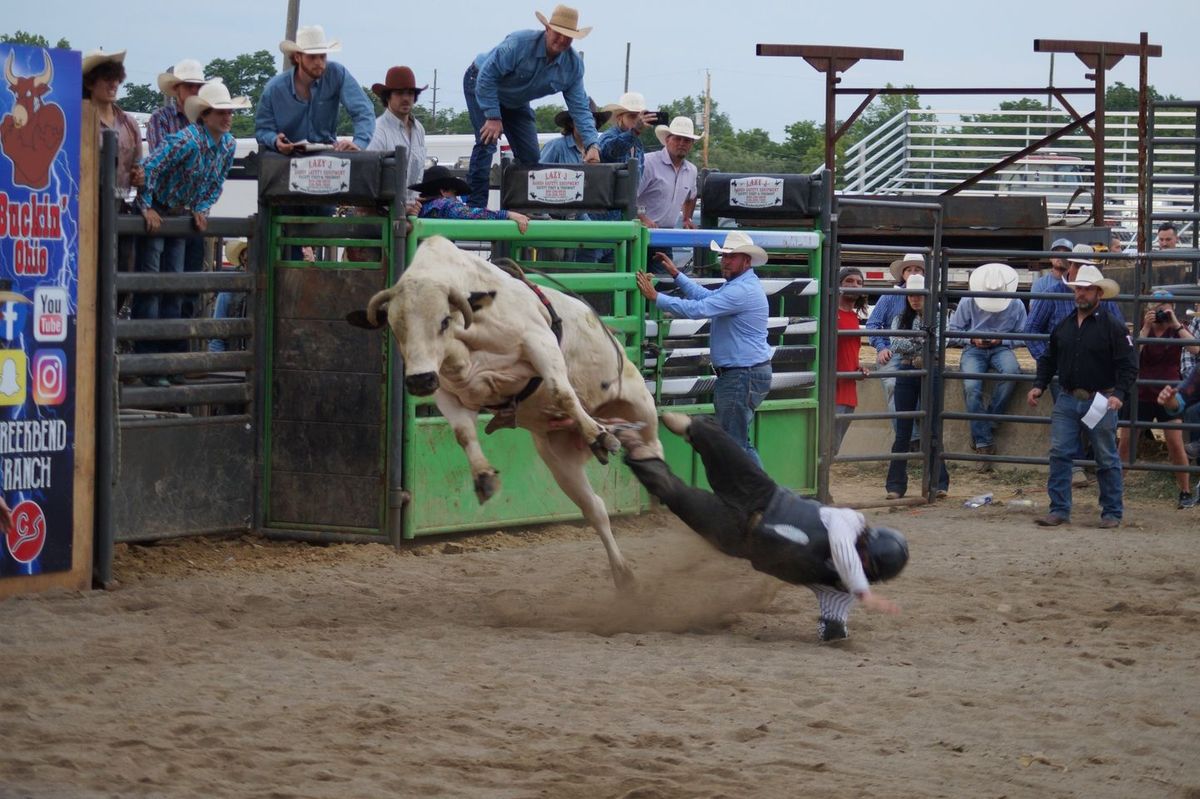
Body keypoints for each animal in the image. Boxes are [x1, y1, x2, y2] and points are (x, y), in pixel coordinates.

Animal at [345, 236, 667, 585]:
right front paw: (484, 476)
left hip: (641, 410)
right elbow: (463, 432)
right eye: (395, 327)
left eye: (444, 320)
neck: (466, 344)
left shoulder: (538, 341)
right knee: (595, 509)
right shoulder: (447, 390)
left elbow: (562, 392)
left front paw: (598, 435)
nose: (419, 380)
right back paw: (623, 576)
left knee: (652, 453)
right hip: (560, 461)